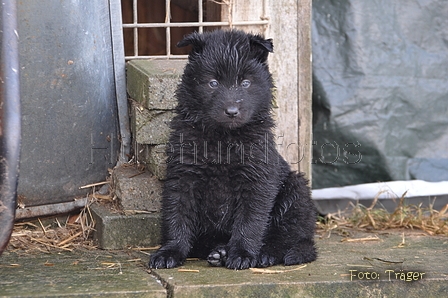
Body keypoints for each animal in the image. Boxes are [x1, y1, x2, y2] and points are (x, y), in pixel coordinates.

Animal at [149, 29, 316, 270]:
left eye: (245, 83)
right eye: (213, 83)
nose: (231, 111)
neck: (223, 140)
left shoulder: (257, 179)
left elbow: (250, 221)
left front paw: (242, 253)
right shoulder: (183, 177)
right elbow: (177, 216)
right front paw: (170, 251)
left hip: (296, 190)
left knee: (289, 236)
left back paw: (264, 254)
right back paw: (219, 251)